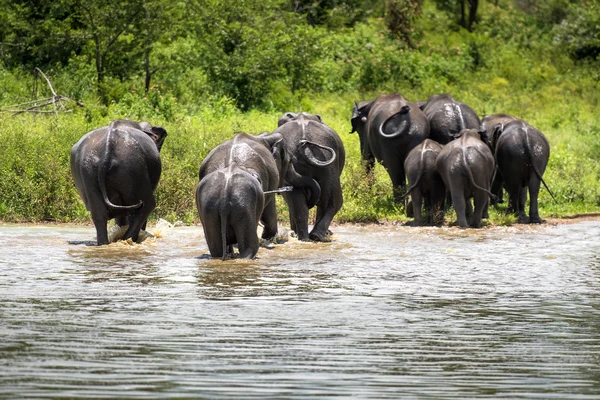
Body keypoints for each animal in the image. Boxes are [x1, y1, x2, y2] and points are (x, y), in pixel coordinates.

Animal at [197, 132, 322, 260]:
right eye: (290, 161)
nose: (311, 202)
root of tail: (224, 196)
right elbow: (269, 210)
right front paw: (268, 238)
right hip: (243, 208)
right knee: (249, 248)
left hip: (209, 209)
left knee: (216, 248)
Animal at [264, 111, 344, 241]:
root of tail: (305, 145)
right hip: (326, 161)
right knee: (331, 201)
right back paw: (313, 236)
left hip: (325, 161)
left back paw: (308, 237)